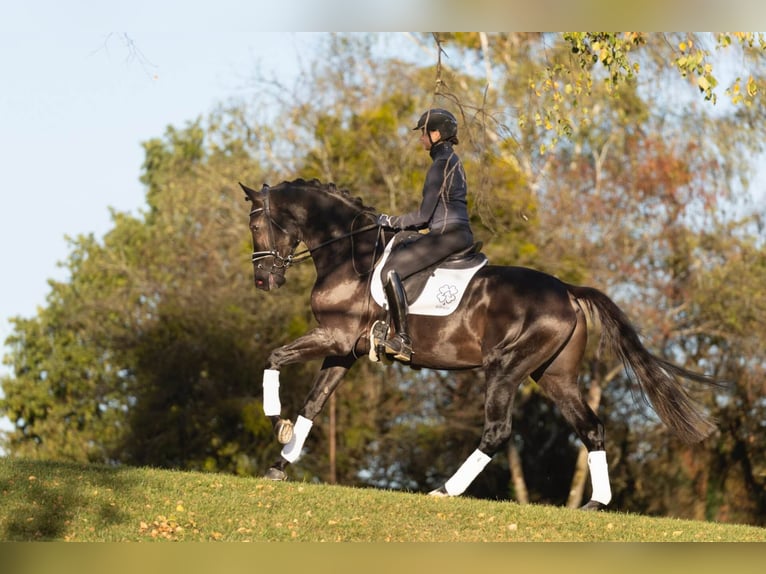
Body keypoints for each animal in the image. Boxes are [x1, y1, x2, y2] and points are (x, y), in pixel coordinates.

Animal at [243, 178, 724, 510]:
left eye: (255, 224)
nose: (264, 281)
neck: (350, 256)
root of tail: (567, 291)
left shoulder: (335, 337)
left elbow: (273, 358)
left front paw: (276, 423)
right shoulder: (344, 349)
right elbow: (313, 403)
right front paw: (280, 463)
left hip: (504, 368)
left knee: (497, 431)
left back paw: (444, 490)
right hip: (554, 376)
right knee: (591, 428)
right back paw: (595, 503)